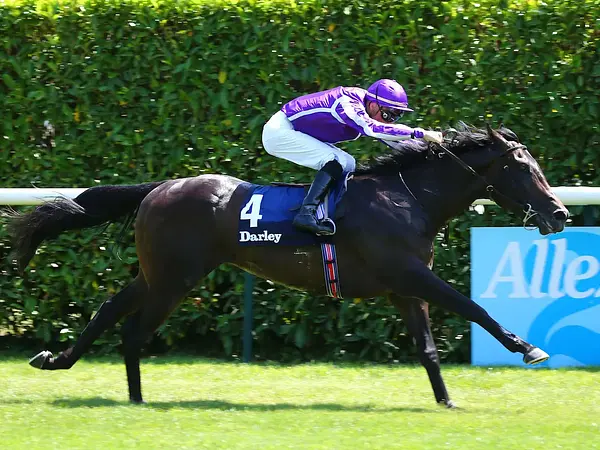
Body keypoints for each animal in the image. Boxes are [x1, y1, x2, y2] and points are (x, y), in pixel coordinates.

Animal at [6, 124, 569, 408]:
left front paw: (447, 402)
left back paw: (67, 364)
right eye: (524, 169)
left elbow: (428, 349)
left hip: (160, 274)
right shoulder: (411, 274)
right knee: (133, 330)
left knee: (111, 311)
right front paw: (528, 348)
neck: (408, 198)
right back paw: (133, 396)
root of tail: (159, 188)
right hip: (175, 278)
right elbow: (474, 308)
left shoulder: (404, 288)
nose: (560, 214)